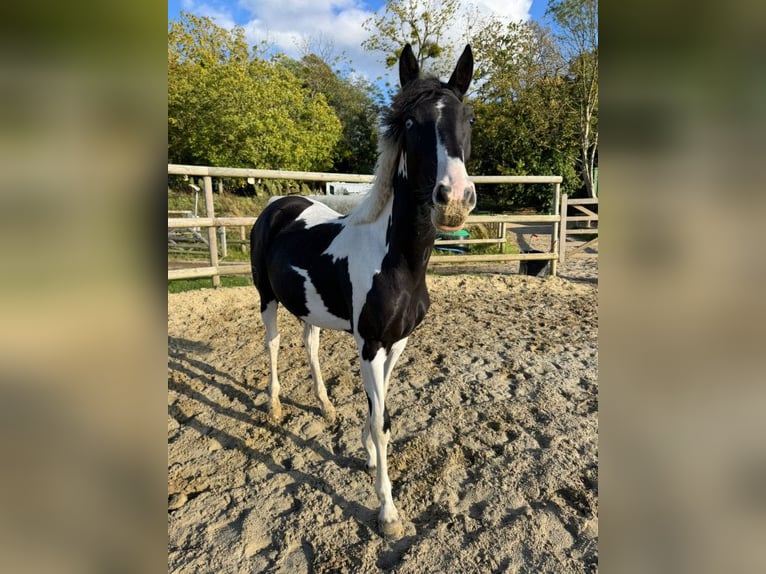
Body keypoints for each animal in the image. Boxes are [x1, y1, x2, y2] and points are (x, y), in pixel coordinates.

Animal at [252, 44, 476, 540]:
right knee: (273, 346)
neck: (397, 261)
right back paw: (275, 407)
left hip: (309, 308)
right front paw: (387, 511)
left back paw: (326, 406)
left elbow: (382, 411)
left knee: (310, 345)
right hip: (267, 299)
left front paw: (367, 451)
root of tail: (278, 204)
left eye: (468, 118)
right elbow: (380, 419)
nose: (453, 199)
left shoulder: (396, 343)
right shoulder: (370, 344)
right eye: (410, 123)